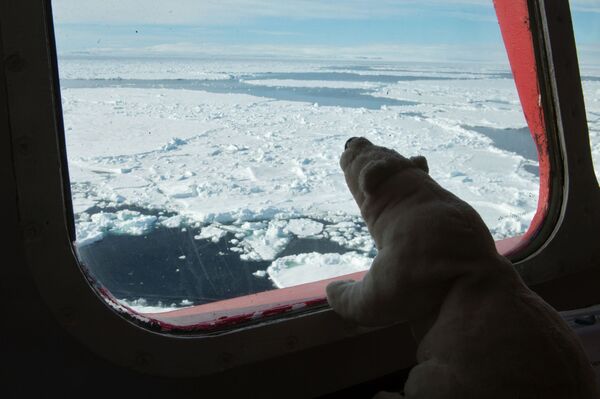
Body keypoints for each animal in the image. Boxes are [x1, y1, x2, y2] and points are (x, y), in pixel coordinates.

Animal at [328, 138, 600, 399]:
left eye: (360, 150)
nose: (350, 139)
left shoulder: (415, 254)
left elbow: (377, 298)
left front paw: (336, 286)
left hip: (452, 377)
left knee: (423, 378)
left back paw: (385, 394)